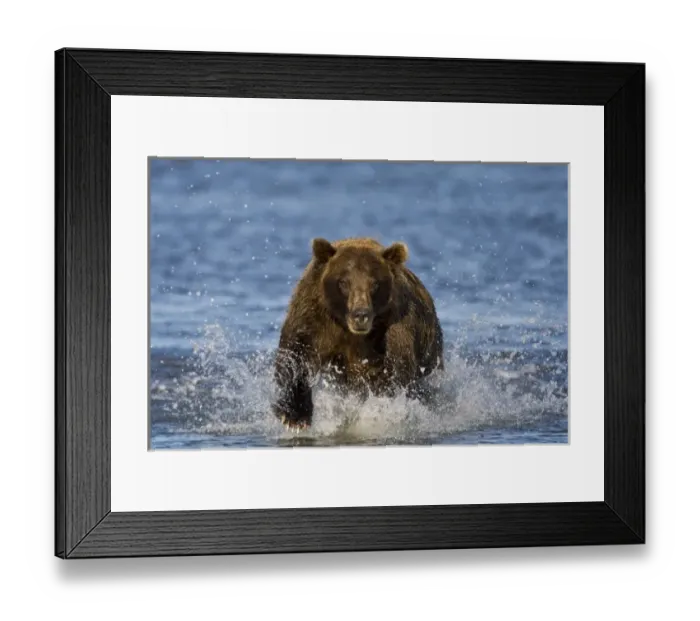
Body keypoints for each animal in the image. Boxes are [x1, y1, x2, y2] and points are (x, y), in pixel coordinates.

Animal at [272, 237, 444, 430]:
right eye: (343, 282)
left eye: (375, 283)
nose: (360, 315)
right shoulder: (314, 317)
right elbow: (296, 356)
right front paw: (295, 416)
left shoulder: (394, 326)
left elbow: (394, 371)